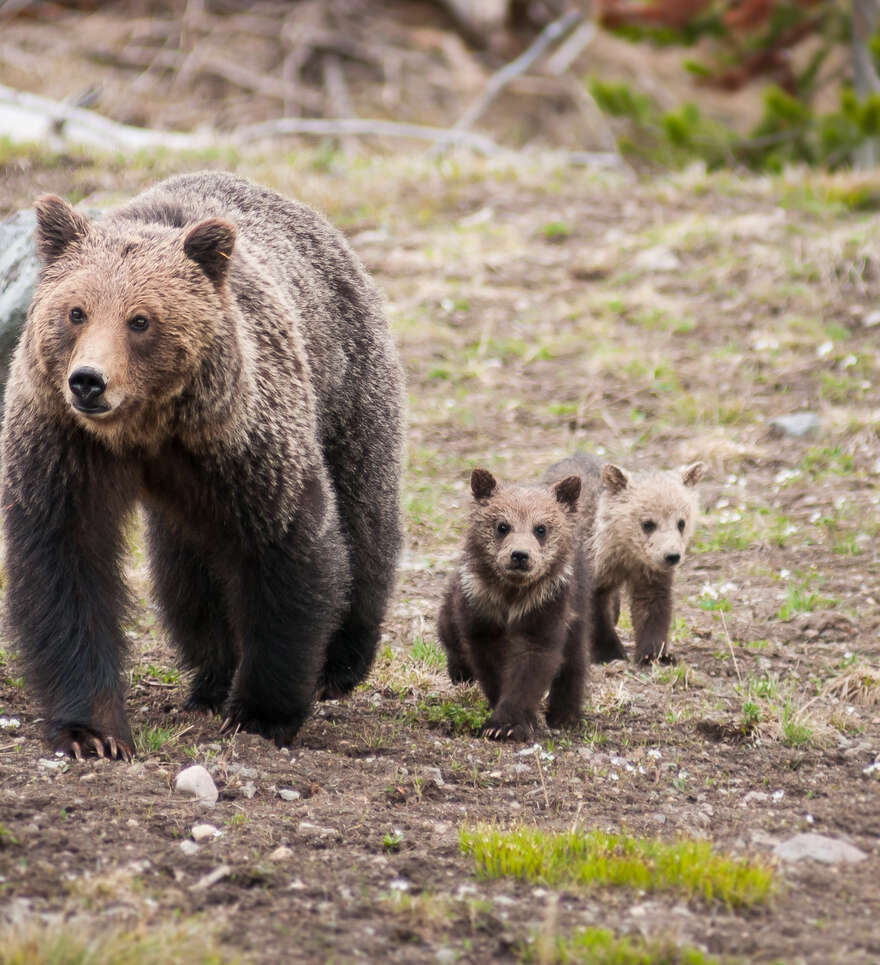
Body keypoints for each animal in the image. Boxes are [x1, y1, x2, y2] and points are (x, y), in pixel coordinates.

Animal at [0, 173, 404, 760]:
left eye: (140, 320)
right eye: (76, 312)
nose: (88, 381)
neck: (146, 431)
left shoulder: (244, 442)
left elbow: (288, 550)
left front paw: (262, 712)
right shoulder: (64, 448)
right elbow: (67, 567)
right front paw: (92, 731)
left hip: (347, 387)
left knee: (364, 517)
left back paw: (340, 663)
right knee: (186, 575)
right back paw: (210, 679)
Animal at [434, 466, 588, 740]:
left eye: (541, 528)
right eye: (502, 525)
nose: (519, 555)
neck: (511, 595)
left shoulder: (546, 607)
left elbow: (531, 664)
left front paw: (507, 725)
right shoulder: (480, 606)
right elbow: (489, 663)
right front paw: (501, 720)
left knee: (575, 656)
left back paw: (566, 715)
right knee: (448, 628)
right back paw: (459, 672)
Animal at [548, 452, 704, 664]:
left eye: (681, 522)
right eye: (648, 523)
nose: (672, 556)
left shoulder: (648, 572)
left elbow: (652, 607)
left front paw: (655, 655)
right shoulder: (592, 567)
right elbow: (595, 611)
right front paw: (609, 652)